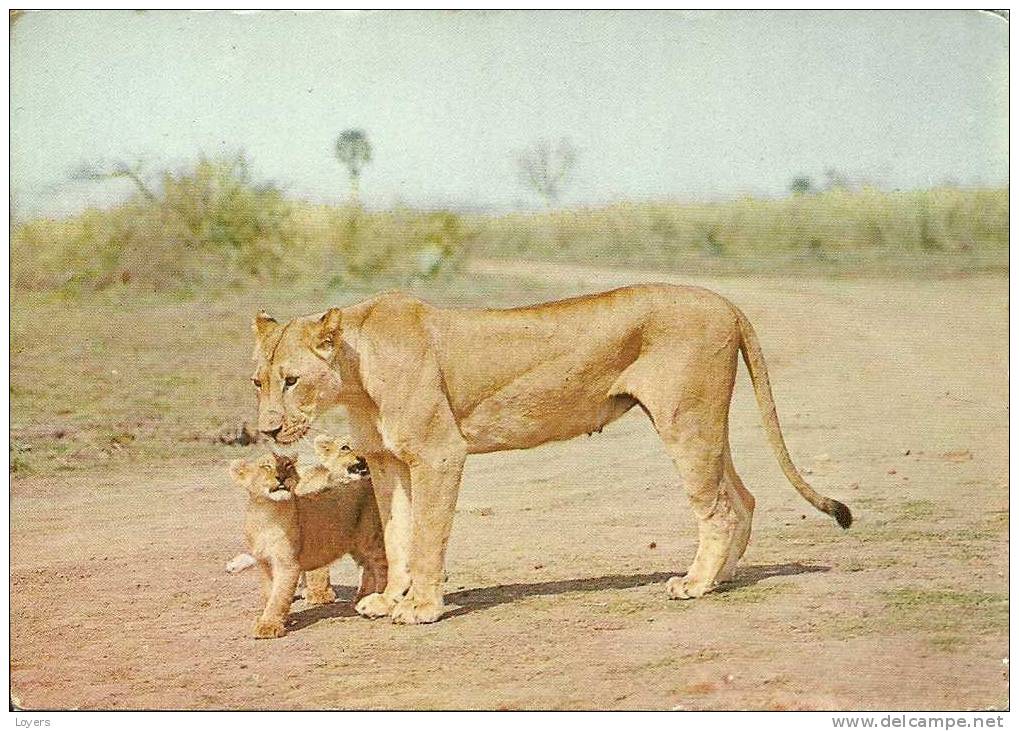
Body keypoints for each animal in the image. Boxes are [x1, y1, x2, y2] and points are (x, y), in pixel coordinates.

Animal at [250, 283, 847, 619]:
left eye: (292, 380)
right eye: (259, 381)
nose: (269, 430)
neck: (357, 374)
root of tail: (725, 302)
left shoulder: (440, 453)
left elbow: (425, 539)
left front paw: (421, 609)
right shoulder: (387, 460)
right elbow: (397, 536)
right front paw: (390, 598)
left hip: (687, 420)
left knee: (717, 508)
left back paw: (696, 584)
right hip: (702, 425)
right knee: (741, 498)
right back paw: (721, 578)